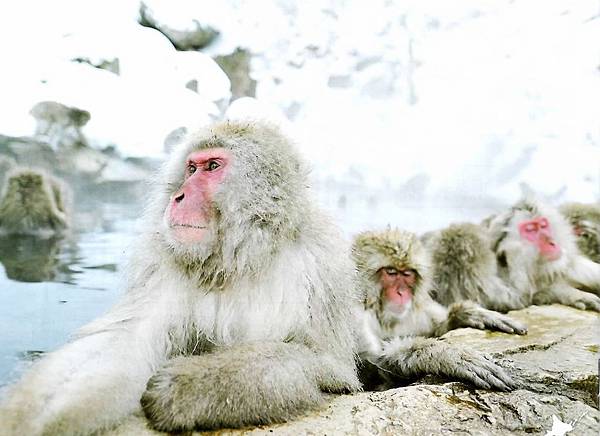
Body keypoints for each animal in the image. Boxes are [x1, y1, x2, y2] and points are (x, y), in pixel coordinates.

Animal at [0, 120, 360, 436]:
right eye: (191, 169)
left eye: (212, 166)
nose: (179, 196)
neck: (238, 259)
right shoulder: (160, 263)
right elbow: (122, 344)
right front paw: (21, 420)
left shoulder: (321, 266)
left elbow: (324, 366)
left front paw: (190, 387)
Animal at [352, 228, 524, 392]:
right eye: (391, 272)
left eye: (407, 274)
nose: (401, 292)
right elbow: (367, 371)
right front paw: (445, 356)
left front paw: (466, 315)